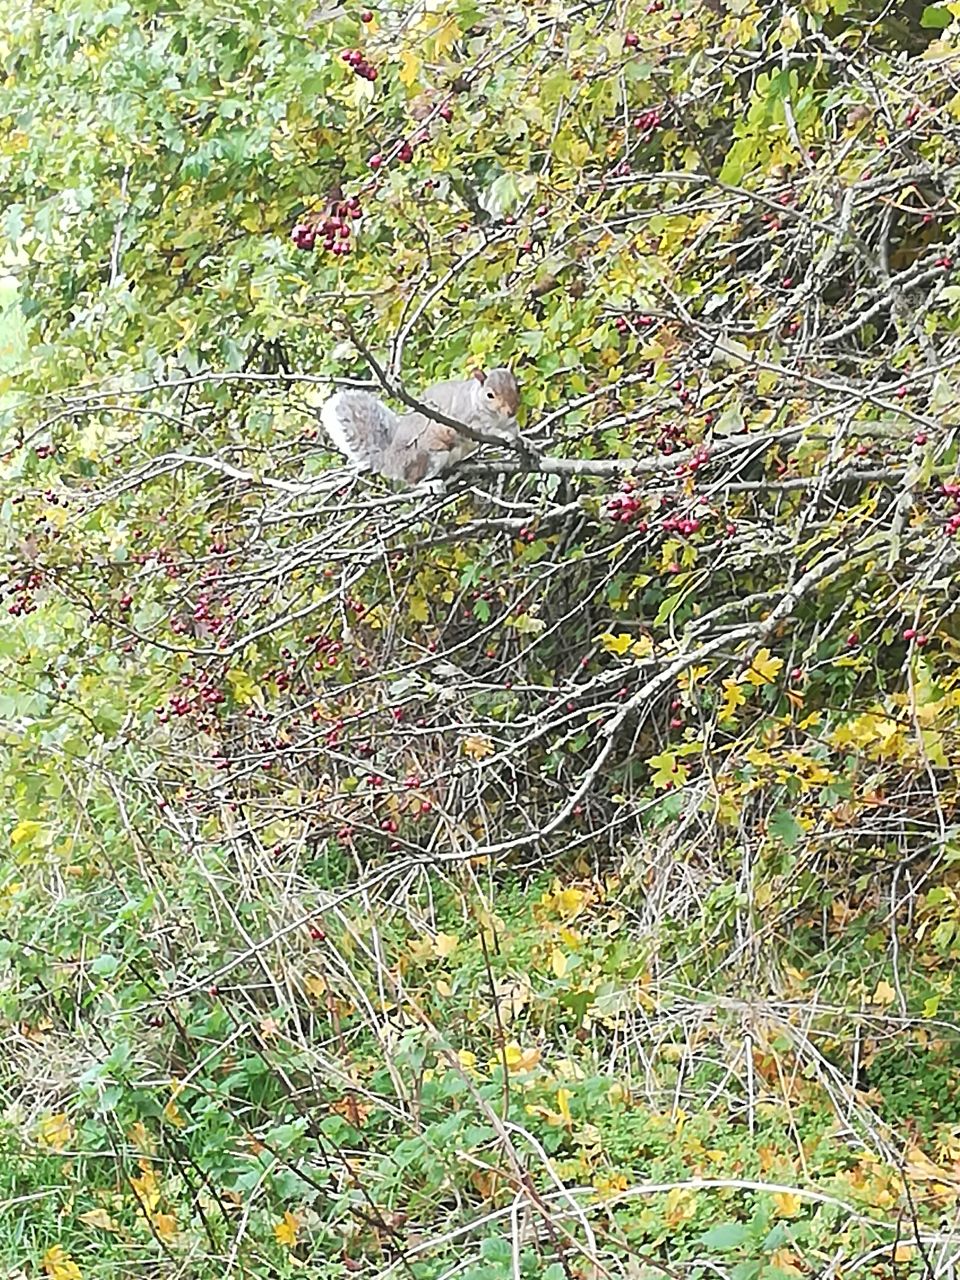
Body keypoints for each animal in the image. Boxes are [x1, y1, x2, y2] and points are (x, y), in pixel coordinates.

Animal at [320, 367, 521, 484]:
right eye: (490, 395)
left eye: (516, 387)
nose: (511, 411)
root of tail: (389, 459)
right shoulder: (469, 422)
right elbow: (487, 430)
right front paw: (504, 435)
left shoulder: (509, 422)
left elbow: (515, 429)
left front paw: (523, 440)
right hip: (430, 456)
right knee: (414, 483)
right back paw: (431, 484)